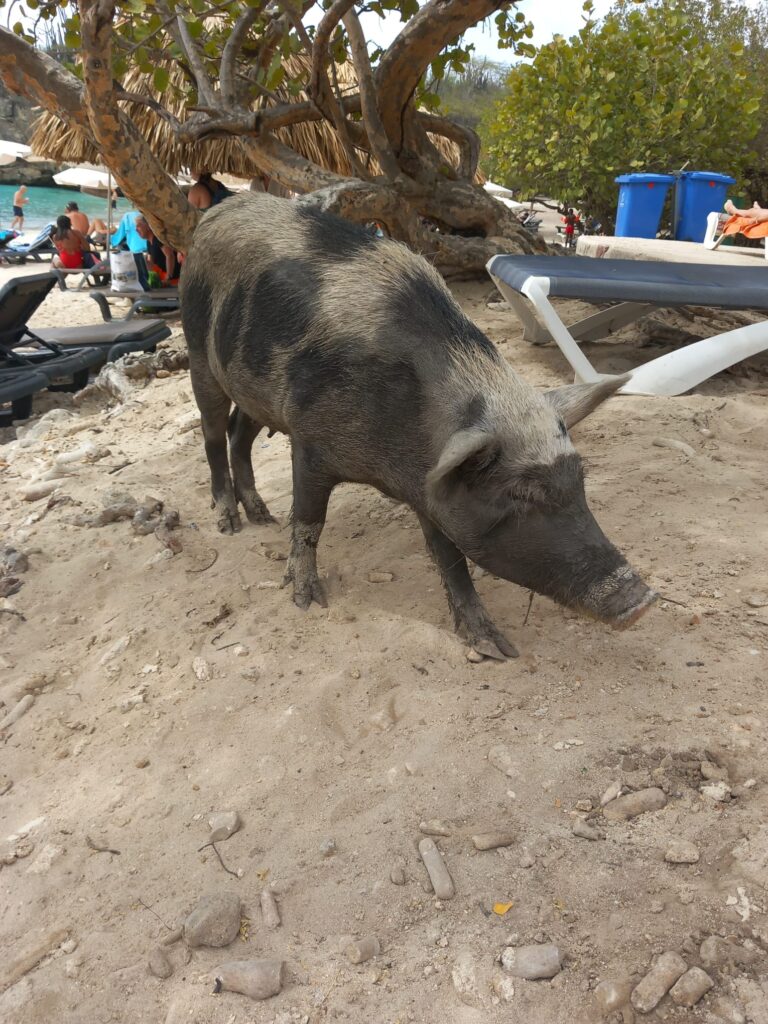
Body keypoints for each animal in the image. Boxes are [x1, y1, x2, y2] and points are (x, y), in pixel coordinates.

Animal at [180, 191, 655, 655]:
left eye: (580, 481)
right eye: (519, 495)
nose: (641, 600)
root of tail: (214, 214)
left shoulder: (432, 484)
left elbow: (448, 556)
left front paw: (493, 647)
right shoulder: (309, 445)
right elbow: (309, 521)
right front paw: (306, 600)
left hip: (252, 390)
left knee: (239, 433)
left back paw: (262, 517)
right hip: (199, 352)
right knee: (212, 435)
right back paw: (230, 522)